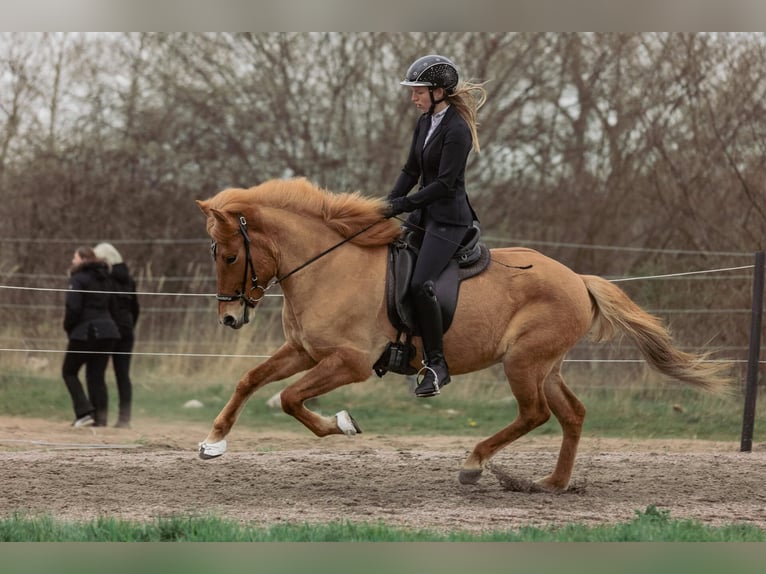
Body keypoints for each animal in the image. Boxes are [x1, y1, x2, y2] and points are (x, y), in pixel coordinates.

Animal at [195, 177, 731, 491]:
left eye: (230, 255)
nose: (229, 319)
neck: (329, 265)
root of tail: (579, 280)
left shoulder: (348, 362)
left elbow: (289, 398)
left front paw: (342, 423)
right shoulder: (304, 350)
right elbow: (251, 381)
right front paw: (213, 443)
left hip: (523, 362)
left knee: (535, 414)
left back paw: (474, 464)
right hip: (546, 365)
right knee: (572, 414)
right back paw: (551, 484)